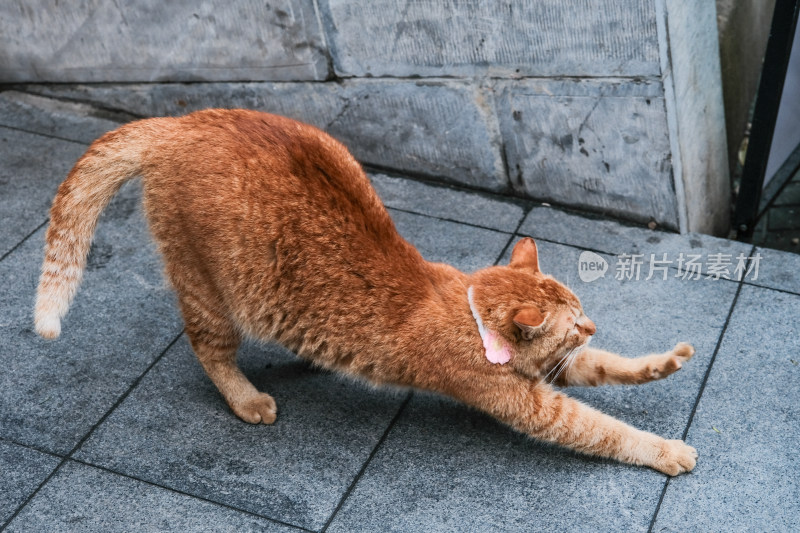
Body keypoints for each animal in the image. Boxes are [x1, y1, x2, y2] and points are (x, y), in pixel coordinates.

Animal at [34, 108, 696, 474]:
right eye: (576, 319)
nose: (593, 325)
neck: (469, 312)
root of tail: (180, 123)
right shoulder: (528, 402)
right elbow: (604, 431)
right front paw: (666, 452)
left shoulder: (553, 371)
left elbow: (609, 368)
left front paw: (664, 362)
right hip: (211, 293)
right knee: (209, 350)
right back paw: (247, 399)